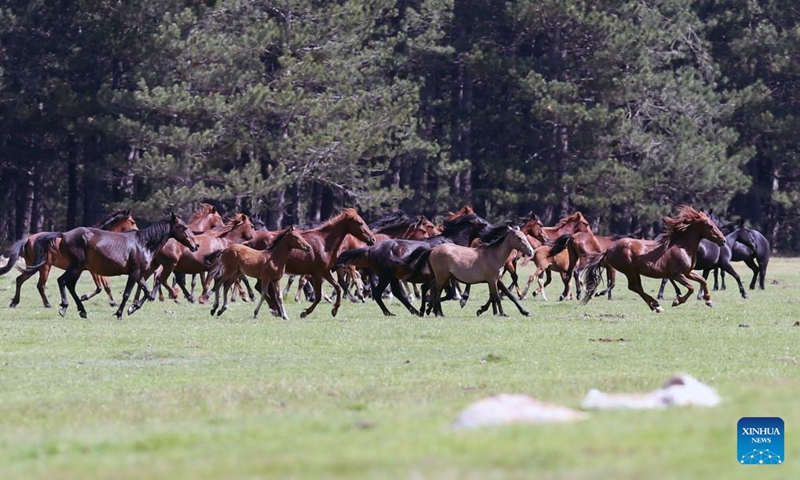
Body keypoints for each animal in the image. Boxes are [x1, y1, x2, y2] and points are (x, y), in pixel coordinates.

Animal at [0, 210, 139, 308]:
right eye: (132, 221)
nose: (137, 232)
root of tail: (28, 238)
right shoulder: (94, 271)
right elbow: (101, 287)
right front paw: (84, 297)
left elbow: (106, 285)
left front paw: (112, 302)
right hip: (44, 266)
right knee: (40, 285)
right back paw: (47, 304)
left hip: (34, 266)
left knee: (20, 280)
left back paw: (14, 302)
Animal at [22, 213, 198, 319]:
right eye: (184, 227)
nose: (195, 246)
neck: (143, 244)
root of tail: (64, 235)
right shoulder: (134, 273)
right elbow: (126, 294)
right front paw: (120, 312)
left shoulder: (139, 273)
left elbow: (147, 292)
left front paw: (132, 308)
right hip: (74, 266)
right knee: (62, 281)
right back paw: (64, 307)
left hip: (78, 269)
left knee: (69, 285)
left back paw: (82, 310)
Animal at [580, 206, 726, 312]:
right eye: (710, 225)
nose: (723, 240)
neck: (682, 247)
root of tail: (608, 249)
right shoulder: (677, 275)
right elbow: (691, 287)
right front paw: (676, 301)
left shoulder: (688, 272)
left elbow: (703, 281)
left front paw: (708, 300)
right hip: (629, 270)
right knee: (634, 287)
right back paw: (656, 305)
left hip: (634, 272)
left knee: (636, 287)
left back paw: (654, 305)